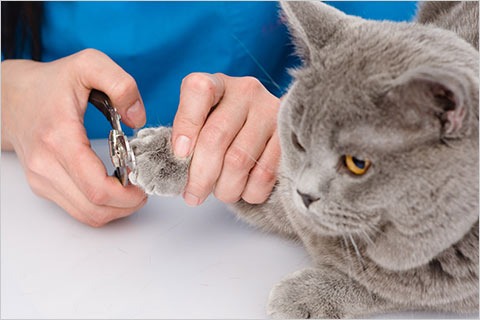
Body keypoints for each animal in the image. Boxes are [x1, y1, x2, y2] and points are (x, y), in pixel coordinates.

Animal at [129, 1, 478, 318]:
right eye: (298, 140)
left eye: (357, 163)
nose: (305, 195)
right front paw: (159, 153)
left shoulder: (454, 288)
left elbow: (393, 290)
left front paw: (305, 297)